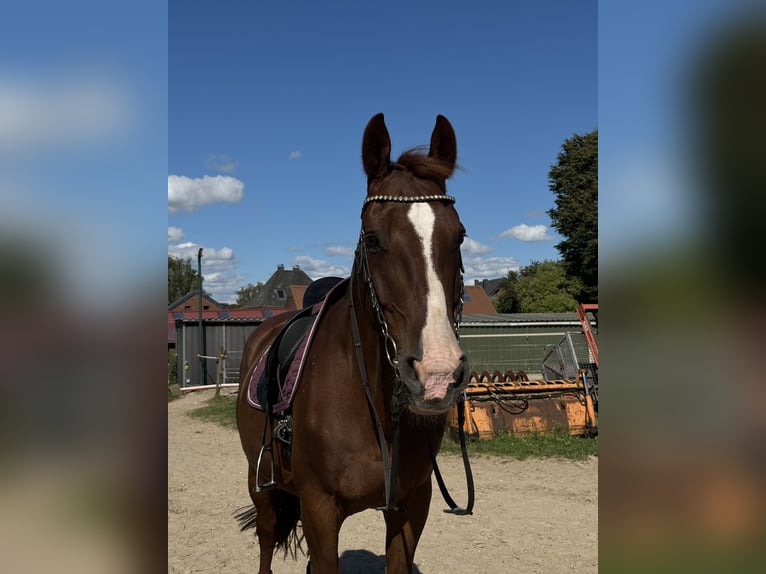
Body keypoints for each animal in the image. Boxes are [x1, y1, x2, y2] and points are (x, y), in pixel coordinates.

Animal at [237, 113, 472, 574]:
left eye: (459, 236)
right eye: (374, 239)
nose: (436, 374)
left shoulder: (412, 506)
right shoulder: (319, 511)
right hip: (262, 485)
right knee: (267, 539)